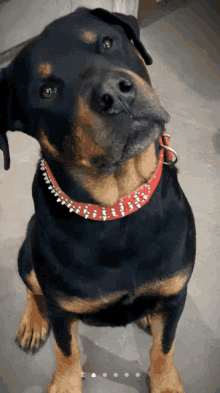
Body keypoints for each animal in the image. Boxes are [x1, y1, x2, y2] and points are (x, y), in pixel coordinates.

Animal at [0, 6, 196, 392]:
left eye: (107, 42)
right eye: (47, 90)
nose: (115, 95)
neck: (117, 206)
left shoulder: (175, 293)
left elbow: (164, 347)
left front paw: (165, 381)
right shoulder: (62, 309)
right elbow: (67, 351)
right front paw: (65, 383)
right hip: (27, 253)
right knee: (32, 288)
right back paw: (33, 322)